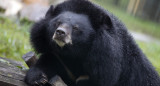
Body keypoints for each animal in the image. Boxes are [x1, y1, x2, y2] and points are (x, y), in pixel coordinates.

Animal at [24, 0, 159, 86]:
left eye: (76, 28)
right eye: (57, 23)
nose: (60, 32)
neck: (74, 55)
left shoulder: (104, 67)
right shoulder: (59, 58)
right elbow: (46, 62)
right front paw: (38, 79)